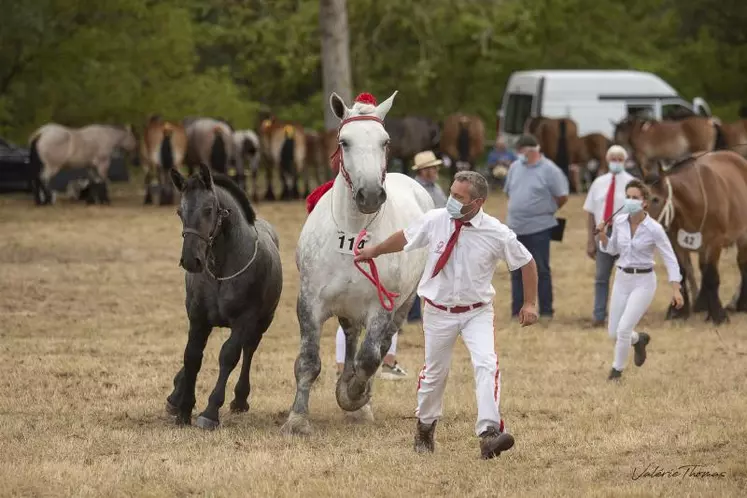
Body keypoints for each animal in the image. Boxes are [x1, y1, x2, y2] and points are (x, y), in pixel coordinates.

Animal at [167, 165, 284, 430]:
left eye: (209, 210)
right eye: (180, 211)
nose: (191, 260)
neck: (221, 271)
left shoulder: (244, 320)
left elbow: (229, 356)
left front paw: (210, 412)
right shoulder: (198, 319)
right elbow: (192, 356)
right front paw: (184, 408)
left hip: (264, 321)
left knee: (249, 350)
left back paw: (240, 399)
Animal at [284, 91, 436, 434]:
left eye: (385, 141)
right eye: (344, 142)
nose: (370, 195)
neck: (353, 233)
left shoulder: (382, 306)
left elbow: (368, 359)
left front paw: (353, 395)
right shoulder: (310, 303)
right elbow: (308, 360)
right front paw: (297, 418)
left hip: (404, 303)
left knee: (378, 347)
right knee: (352, 336)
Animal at [644, 150, 747, 324]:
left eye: (655, 199)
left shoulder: (715, 242)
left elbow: (712, 276)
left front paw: (718, 315)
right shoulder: (675, 240)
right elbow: (682, 272)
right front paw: (678, 311)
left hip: (742, 237)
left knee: (741, 264)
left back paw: (740, 305)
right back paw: (702, 304)